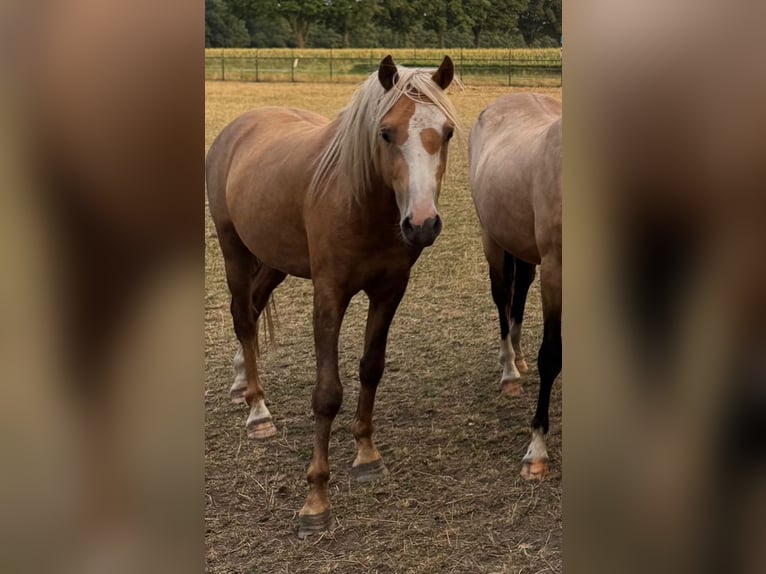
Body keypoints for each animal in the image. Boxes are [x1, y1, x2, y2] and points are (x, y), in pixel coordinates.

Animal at [205, 55, 458, 537]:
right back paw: (257, 411)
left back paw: (242, 381)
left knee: (254, 308)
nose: (421, 224)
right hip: (234, 249)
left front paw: (366, 455)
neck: (362, 202)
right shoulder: (329, 295)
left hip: (276, 261)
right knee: (242, 317)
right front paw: (315, 500)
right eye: (385, 133)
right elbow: (326, 393)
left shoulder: (390, 290)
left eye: (448, 131)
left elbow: (371, 368)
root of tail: (240, 125)